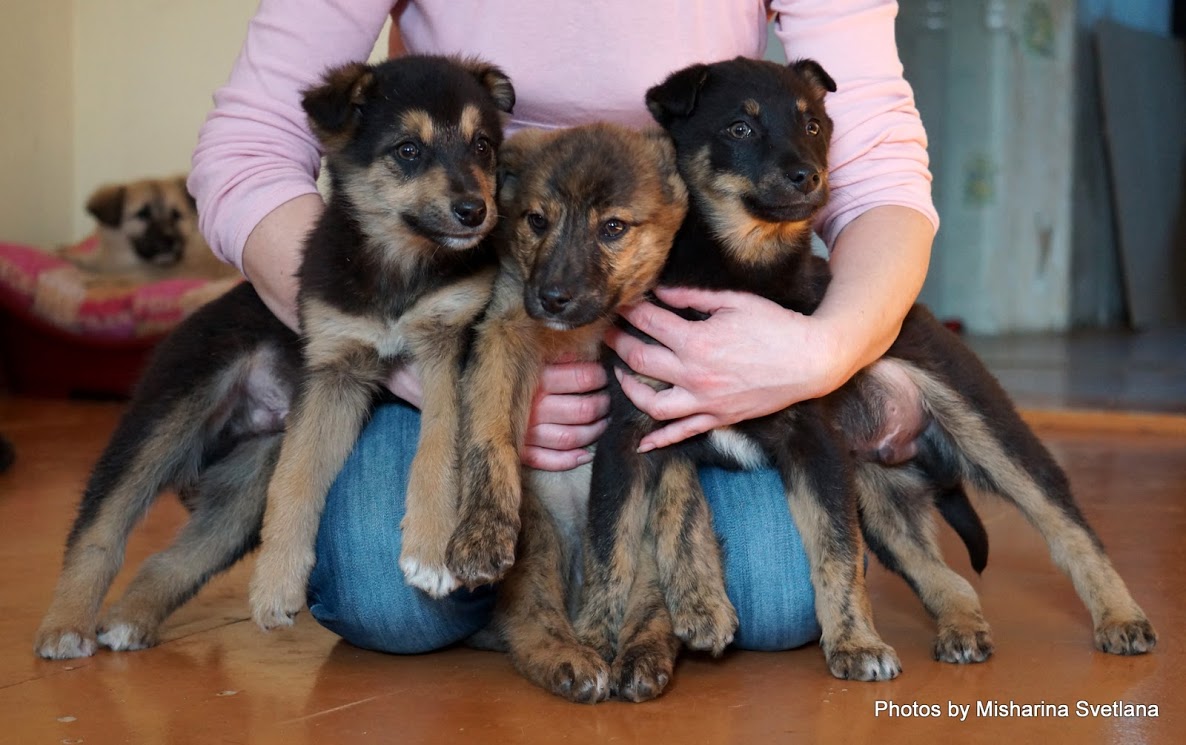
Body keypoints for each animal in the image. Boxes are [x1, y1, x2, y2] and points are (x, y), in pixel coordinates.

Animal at [449, 123, 688, 703]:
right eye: (537, 220)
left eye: (613, 228)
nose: (554, 297)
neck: (581, 331)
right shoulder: (503, 336)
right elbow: (490, 436)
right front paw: (479, 532)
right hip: (535, 546)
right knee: (533, 625)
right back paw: (570, 660)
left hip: (645, 556)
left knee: (648, 610)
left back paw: (642, 656)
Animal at [573, 56, 1157, 691]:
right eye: (739, 129)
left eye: (813, 126)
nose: (808, 176)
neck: (739, 269)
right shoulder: (639, 430)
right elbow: (626, 538)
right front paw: (606, 636)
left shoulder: (812, 442)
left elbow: (834, 553)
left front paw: (855, 644)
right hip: (879, 495)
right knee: (944, 575)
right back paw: (961, 628)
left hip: (984, 431)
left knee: (1067, 526)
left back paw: (1120, 616)